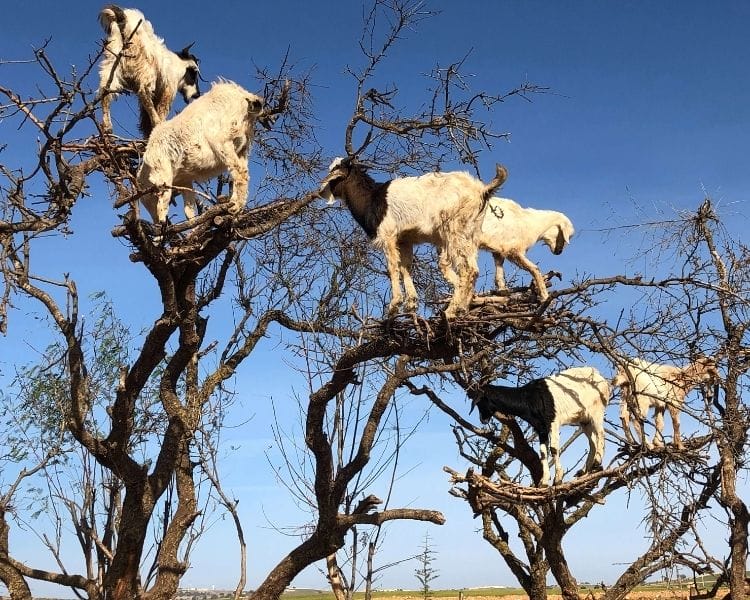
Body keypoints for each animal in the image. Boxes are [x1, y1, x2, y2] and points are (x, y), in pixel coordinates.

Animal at [98, 5, 201, 136]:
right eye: (194, 74)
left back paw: (107, 128)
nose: (197, 94)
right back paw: (157, 122)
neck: (177, 65)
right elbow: (161, 110)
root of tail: (124, 20)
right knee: (144, 92)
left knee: (105, 92)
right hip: (145, 69)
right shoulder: (168, 90)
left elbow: (145, 122)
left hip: (112, 62)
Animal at [136, 80, 264, 223]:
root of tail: (245, 97)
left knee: (240, 173)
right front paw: (193, 224)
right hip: (242, 147)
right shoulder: (184, 181)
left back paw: (235, 206)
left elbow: (164, 201)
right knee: (242, 172)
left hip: (221, 139)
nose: (157, 222)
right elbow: (189, 209)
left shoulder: (163, 171)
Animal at [318, 158, 508, 318]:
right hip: (470, 235)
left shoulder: (388, 235)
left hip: (454, 231)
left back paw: (451, 311)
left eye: (336, 172)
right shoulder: (404, 240)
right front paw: (411, 304)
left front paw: (394, 305)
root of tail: (480, 189)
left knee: (468, 270)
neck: (372, 198)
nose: (321, 192)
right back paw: (463, 307)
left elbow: (393, 267)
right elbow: (405, 267)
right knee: (472, 268)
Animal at [470, 366, 611, 486]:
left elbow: (553, 448)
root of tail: (600, 376)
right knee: (592, 442)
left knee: (600, 433)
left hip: (596, 411)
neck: (529, 398)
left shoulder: (552, 421)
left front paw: (558, 478)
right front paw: (544, 481)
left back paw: (597, 462)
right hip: (584, 419)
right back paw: (585, 471)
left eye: (480, 401)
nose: (483, 420)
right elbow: (543, 452)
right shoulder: (540, 427)